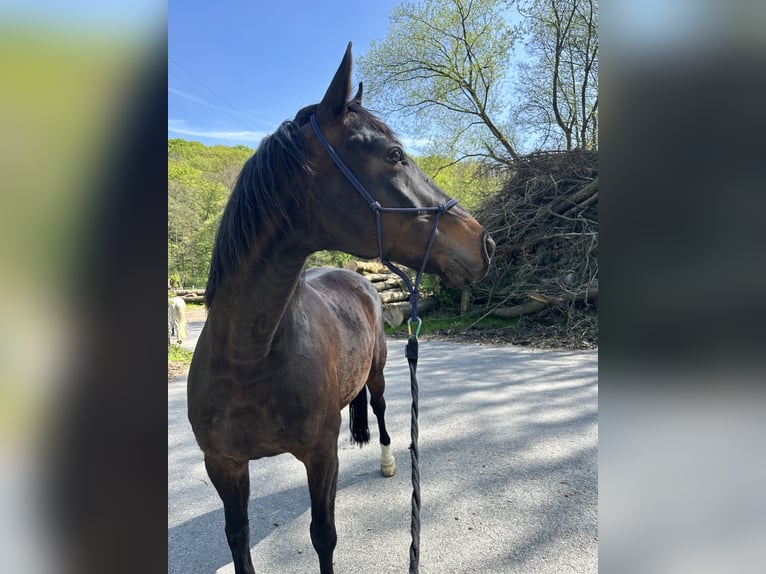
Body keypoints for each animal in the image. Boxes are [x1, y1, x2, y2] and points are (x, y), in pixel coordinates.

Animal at [187, 43, 495, 574]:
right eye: (393, 155)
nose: (485, 243)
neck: (249, 357)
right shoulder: (223, 465)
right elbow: (238, 539)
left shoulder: (319, 455)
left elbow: (323, 536)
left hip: (380, 372)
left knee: (383, 409)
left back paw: (389, 461)